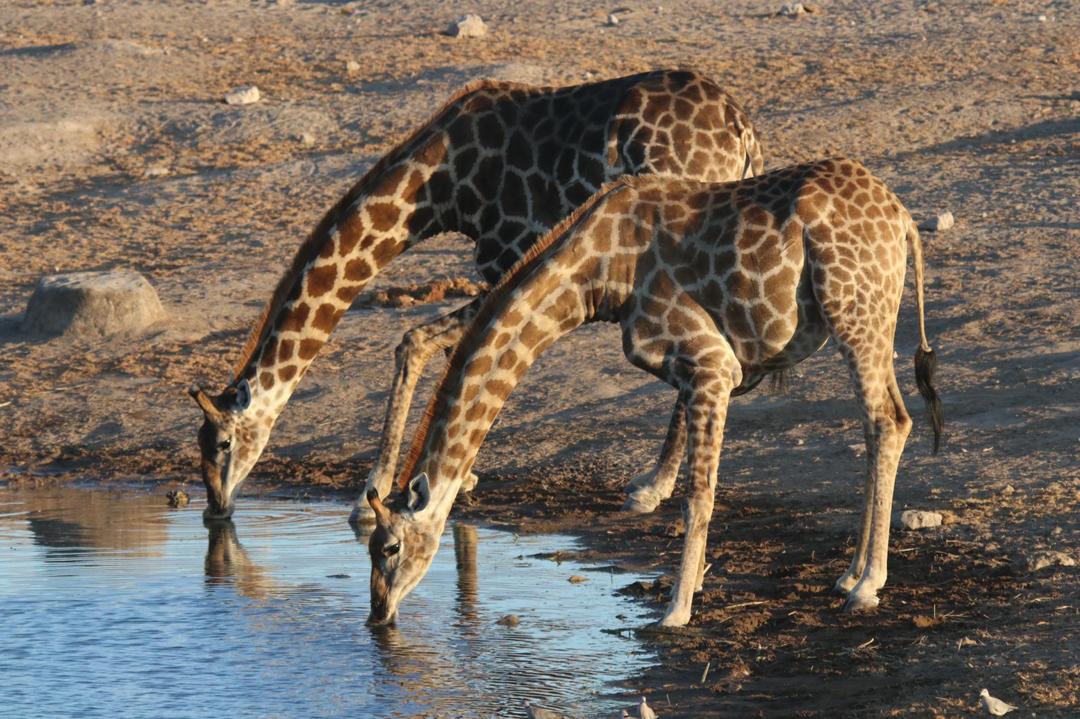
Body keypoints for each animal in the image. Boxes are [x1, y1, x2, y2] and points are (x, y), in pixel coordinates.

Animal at [188, 69, 764, 521]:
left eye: (221, 443)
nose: (216, 509)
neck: (439, 186)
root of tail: (742, 131)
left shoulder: (505, 257)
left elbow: (423, 339)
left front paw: (372, 494)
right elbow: (440, 344)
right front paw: (449, 480)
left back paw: (649, 487)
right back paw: (655, 483)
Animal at [365, 158, 943, 627]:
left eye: (389, 547)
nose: (378, 614)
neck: (599, 273)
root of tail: (902, 220)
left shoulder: (711, 364)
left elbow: (698, 495)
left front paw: (676, 609)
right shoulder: (701, 372)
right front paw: (696, 580)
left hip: (856, 314)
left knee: (889, 421)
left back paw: (867, 585)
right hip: (866, 319)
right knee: (878, 426)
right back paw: (850, 574)